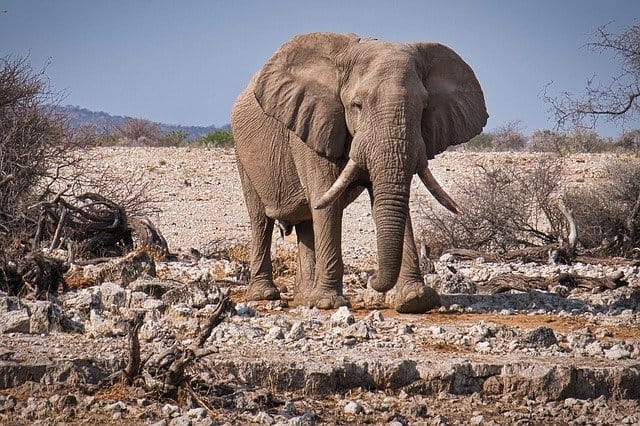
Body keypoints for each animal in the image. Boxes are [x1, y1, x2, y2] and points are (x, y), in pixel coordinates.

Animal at [231, 32, 488, 313]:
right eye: (357, 105)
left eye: (423, 107)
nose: (373, 279)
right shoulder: (313, 125)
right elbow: (326, 202)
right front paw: (329, 303)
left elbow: (389, 201)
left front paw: (416, 300)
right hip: (242, 154)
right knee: (261, 220)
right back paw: (265, 295)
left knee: (306, 222)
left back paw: (304, 299)